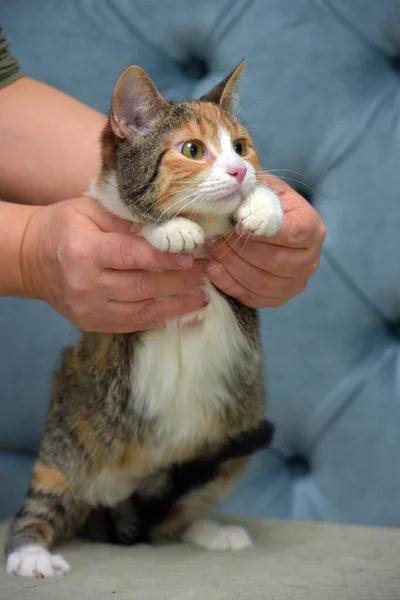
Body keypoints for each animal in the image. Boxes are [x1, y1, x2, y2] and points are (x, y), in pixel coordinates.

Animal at [5, 59, 282, 576]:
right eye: (192, 149)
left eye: (240, 147)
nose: (238, 170)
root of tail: (118, 499)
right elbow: (131, 222)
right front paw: (169, 229)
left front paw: (263, 204)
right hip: (70, 427)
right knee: (48, 493)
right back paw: (30, 550)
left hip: (230, 432)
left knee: (179, 505)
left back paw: (205, 529)